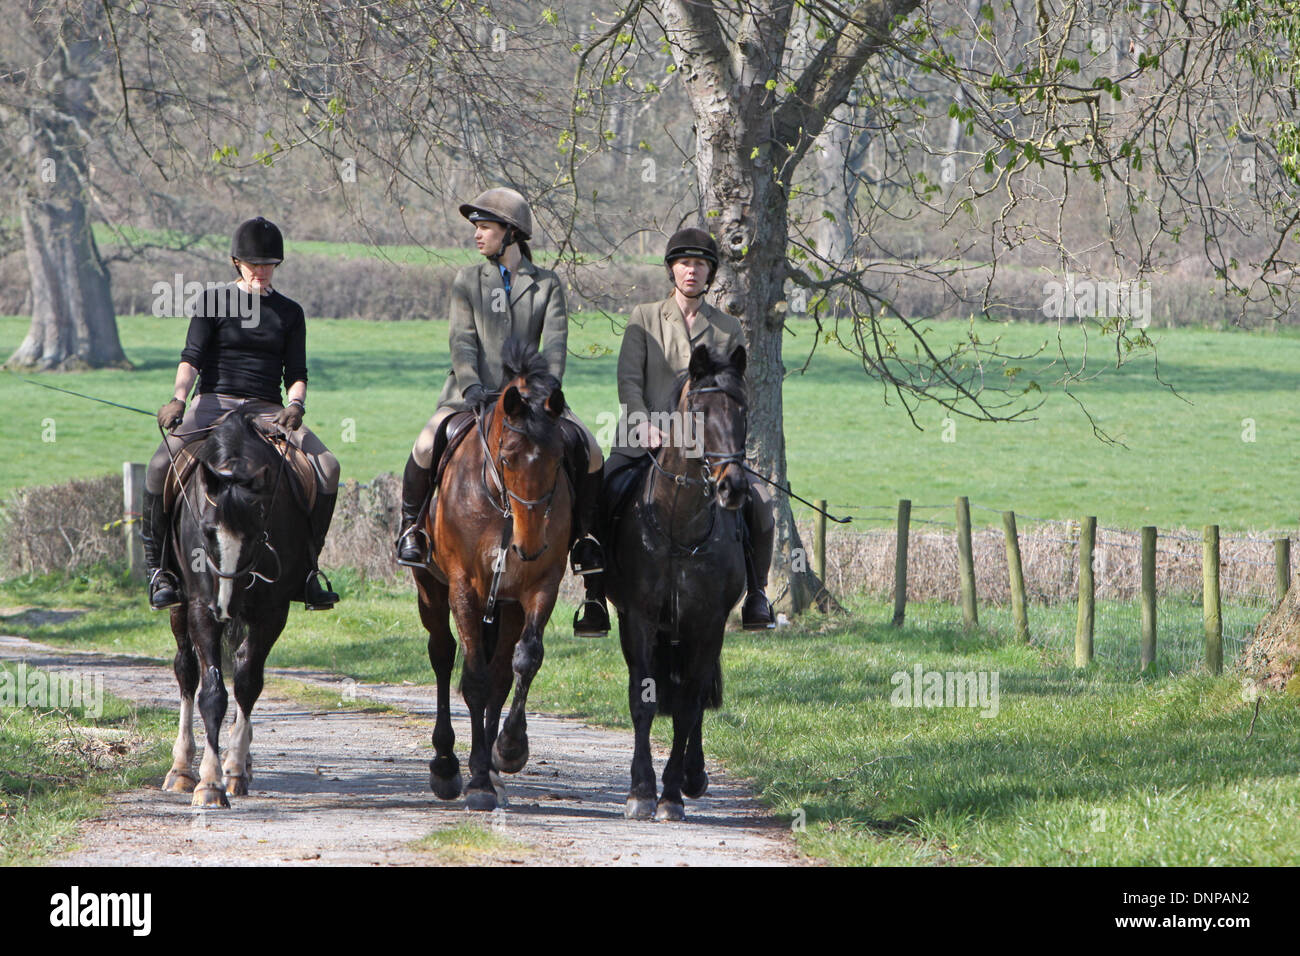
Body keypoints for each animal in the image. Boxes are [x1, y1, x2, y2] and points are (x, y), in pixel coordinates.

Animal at [159, 408, 312, 806]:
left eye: (258, 533)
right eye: (206, 530)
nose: (225, 605)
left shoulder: (272, 613)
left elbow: (247, 681)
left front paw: (233, 770)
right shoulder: (200, 607)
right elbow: (211, 692)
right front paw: (209, 783)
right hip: (179, 606)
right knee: (186, 672)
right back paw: (181, 770)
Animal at [405, 340, 569, 811]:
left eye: (559, 459)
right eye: (508, 458)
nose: (529, 547)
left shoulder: (540, 586)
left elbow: (524, 661)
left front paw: (509, 748)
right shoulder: (463, 587)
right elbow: (473, 678)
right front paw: (476, 778)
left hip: (508, 607)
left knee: (501, 671)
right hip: (431, 591)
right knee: (443, 656)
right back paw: (446, 765)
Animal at [600, 343, 754, 822]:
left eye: (743, 409)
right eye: (700, 412)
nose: (733, 488)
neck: (679, 526)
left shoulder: (707, 623)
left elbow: (688, 706)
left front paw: (670, 794)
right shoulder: (640, 620)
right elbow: (644, 700)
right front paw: (640, 792)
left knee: (697, 695)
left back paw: (693, 775)